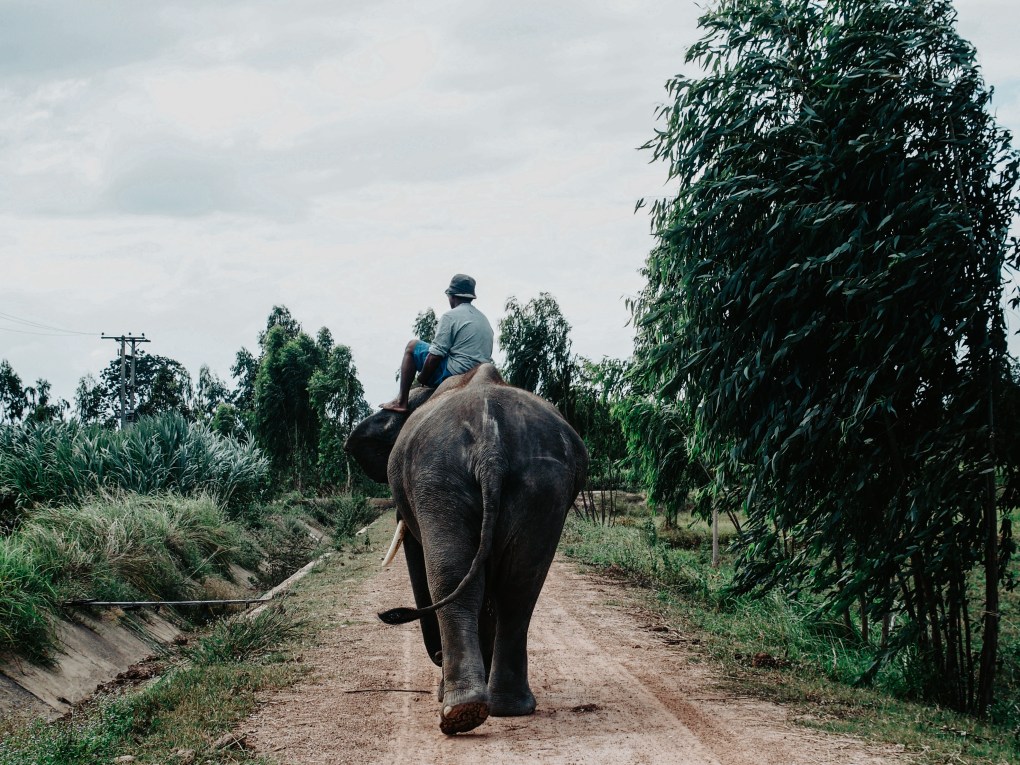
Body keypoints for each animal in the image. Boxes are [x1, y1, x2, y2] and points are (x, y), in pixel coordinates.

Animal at [344, 363, 588, 735]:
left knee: (451, 579)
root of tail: (491, 450)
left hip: (439, 480)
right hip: (543, 484)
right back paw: (502, 707)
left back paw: (459, 710)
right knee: (520, 587)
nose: (437, 658)